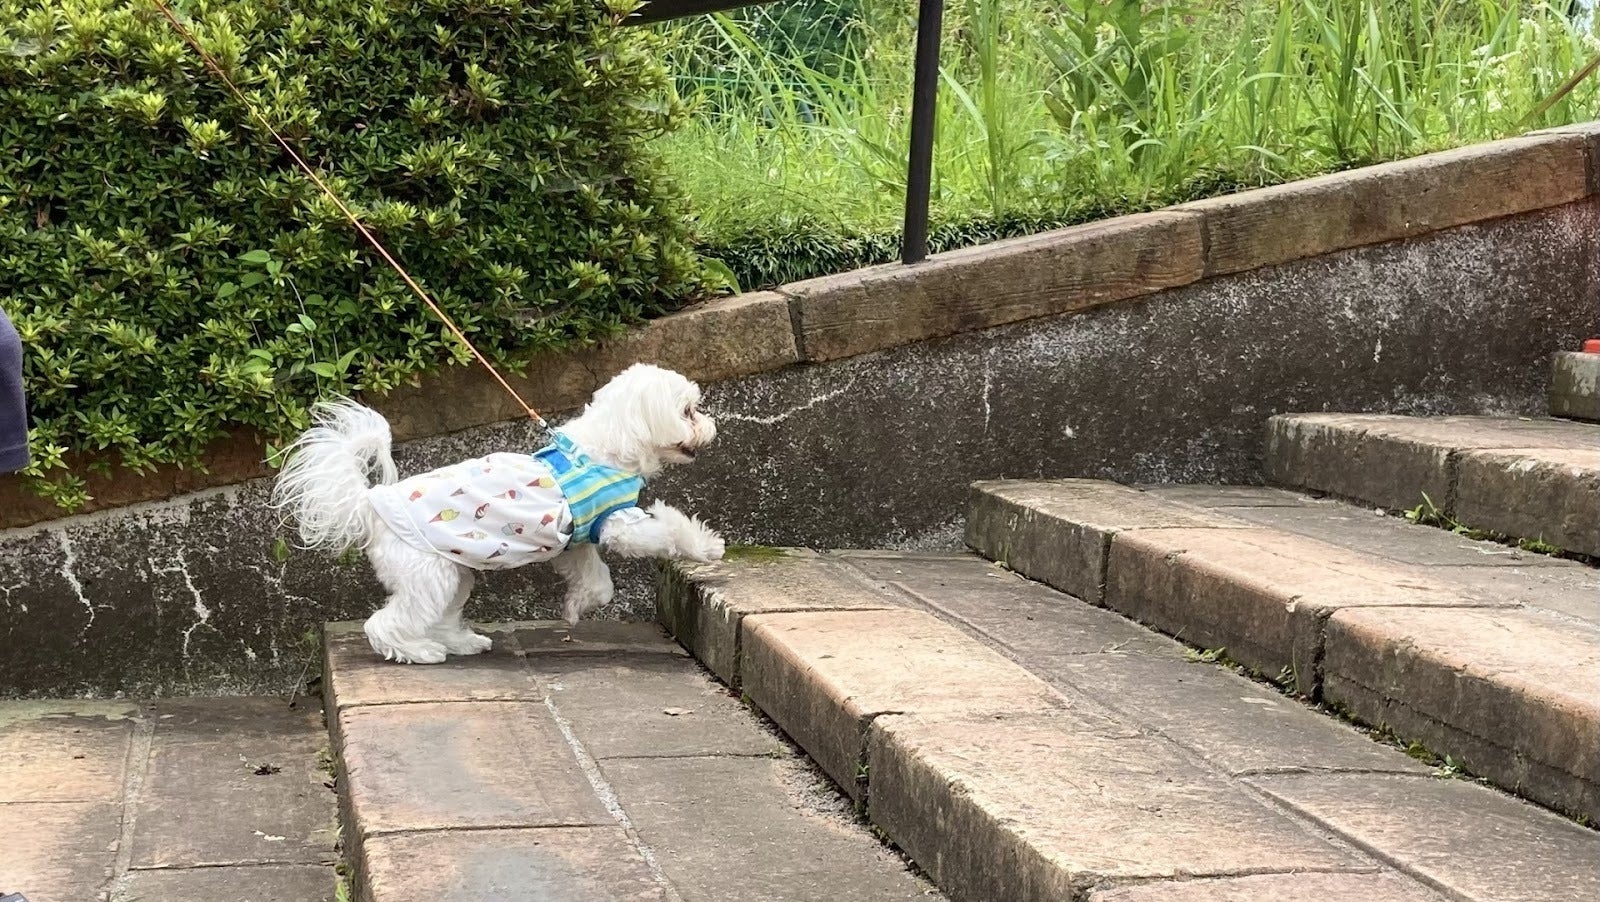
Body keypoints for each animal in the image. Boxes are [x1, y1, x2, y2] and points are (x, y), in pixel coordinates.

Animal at [270, 363, 725, 663]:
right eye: (688, 412)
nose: (712, 427)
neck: (606, 448)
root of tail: (370, 505)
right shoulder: (615, 522)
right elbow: (666, 531)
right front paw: (707, 546)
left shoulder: (577, 539)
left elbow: (598, 582)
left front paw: (575, 607)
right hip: (428, 573)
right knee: (385, 623)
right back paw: (420, 651)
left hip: (452, 572)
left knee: (438, 613)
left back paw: (461, 642)